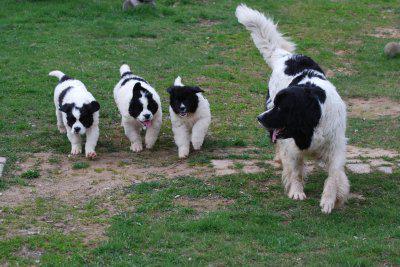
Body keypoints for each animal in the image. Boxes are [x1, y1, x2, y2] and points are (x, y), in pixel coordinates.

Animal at [236, 3, 348, 215]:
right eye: (277, 105)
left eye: (282, 108)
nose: (259, 118)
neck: (312, 125)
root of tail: (285, 55)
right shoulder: (292, 146)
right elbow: (295, 169)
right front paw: (296, 191)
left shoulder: (336, 145)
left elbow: (334, 175)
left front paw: (330, 200)